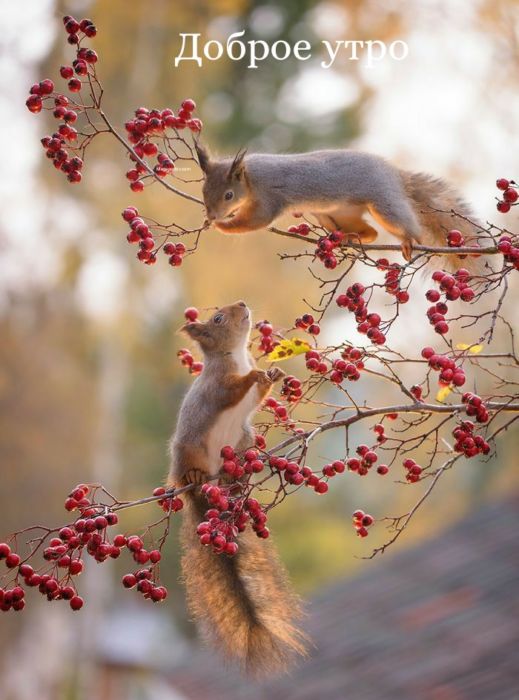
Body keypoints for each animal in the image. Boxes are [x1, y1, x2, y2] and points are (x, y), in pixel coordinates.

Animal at [169, 300, 306, 672]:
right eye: (217, 319)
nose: (243, 304)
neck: (238, 356)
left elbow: (258, 395)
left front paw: (274, 375)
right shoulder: (218, 384)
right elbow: (233, 389)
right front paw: (253, 377)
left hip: (244, 438)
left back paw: (239, 475)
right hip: (188, 450)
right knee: (184, 471)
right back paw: (193, 477)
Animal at [196, 144, 484, 264]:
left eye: (229, 195)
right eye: (203, 190)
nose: (212, 214)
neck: (251, 178)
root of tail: (396, 175)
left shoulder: (268, 198)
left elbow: (256, 220)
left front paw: (222, 226)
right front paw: (209, 220)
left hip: (383, 201)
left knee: (402, 225)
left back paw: (408, 240)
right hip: (334, 214)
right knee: (371, 232)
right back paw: (349, 238)